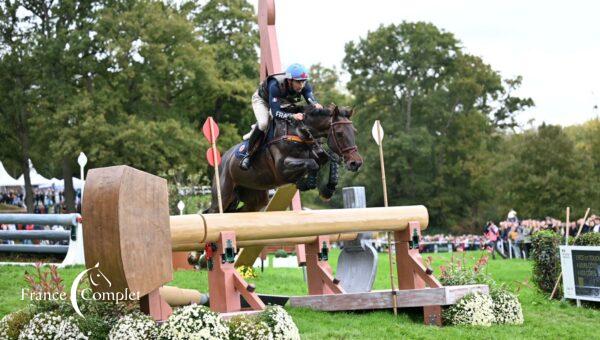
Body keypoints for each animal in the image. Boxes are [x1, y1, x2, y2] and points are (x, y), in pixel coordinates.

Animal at [209, 105, 364, 214]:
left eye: (355, 132)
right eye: (339, 133)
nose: (356, 163)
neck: (300, 133)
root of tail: (222, 161)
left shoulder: (319, 154)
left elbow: (329, 159)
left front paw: (328, 190)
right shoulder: (282, 168)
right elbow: (313, 164)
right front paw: (306, 183)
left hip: (255, 197)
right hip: (223, 195)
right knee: (213, 212)